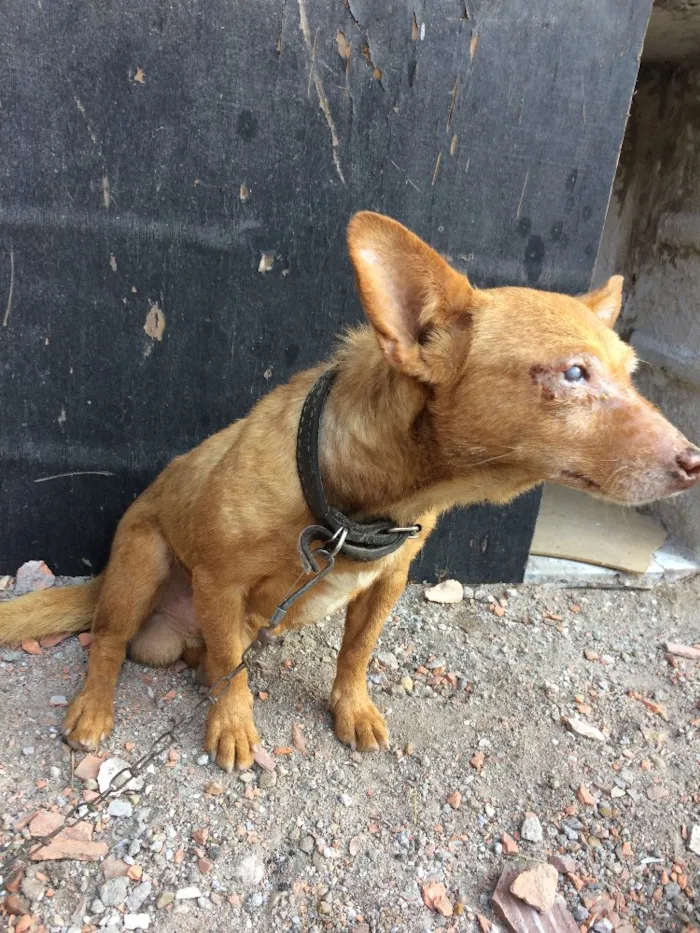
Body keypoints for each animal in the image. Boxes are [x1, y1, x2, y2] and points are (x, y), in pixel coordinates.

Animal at [1, 213, 700, 772]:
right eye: (574, 373)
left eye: (632, 376)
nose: (696, 461)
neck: (359, 505)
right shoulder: (219, 583)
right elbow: (231, 666)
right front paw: (233, 724)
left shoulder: (388, 581)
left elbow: (356, 654)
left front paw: (351, 708)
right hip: (141, 562)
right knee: (109, 643)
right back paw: (94, 706)